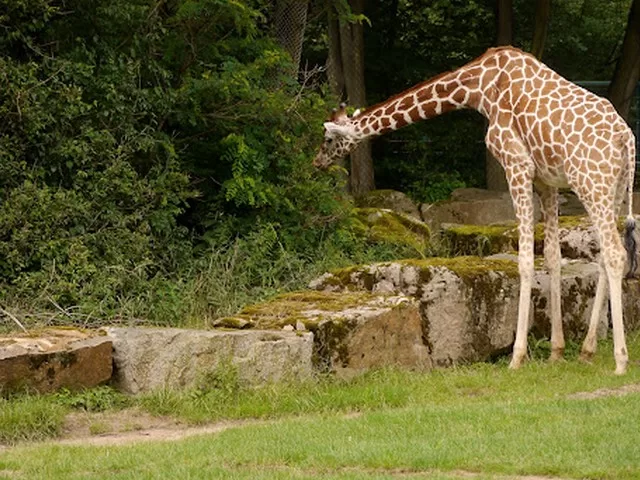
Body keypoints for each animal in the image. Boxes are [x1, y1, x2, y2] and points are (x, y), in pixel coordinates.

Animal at [314, 46, 636, 376]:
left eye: (328, 139)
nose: (317, 162)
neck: (478, 86)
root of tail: (626, 138)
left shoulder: (517, 164)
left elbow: (525, 261)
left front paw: (517, 357)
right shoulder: (546, 181)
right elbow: (552, 257)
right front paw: (556, 352)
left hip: (592, 185)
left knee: (615, 253)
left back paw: (620, 360)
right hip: (613, 191)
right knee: (605, 255)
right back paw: (587, 350)